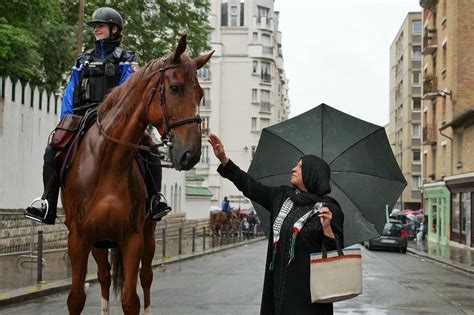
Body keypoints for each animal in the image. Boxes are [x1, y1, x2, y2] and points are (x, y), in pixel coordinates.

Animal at [62, 35, 213, 315]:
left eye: (201, 94)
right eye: (174, 88)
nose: (191, 154)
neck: (109, 163)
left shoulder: (132, 240)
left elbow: (131, 299)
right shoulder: (79, 239)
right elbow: (76, 298)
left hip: (148, 235)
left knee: (146, 277)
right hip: (99, 243)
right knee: (104, 276)